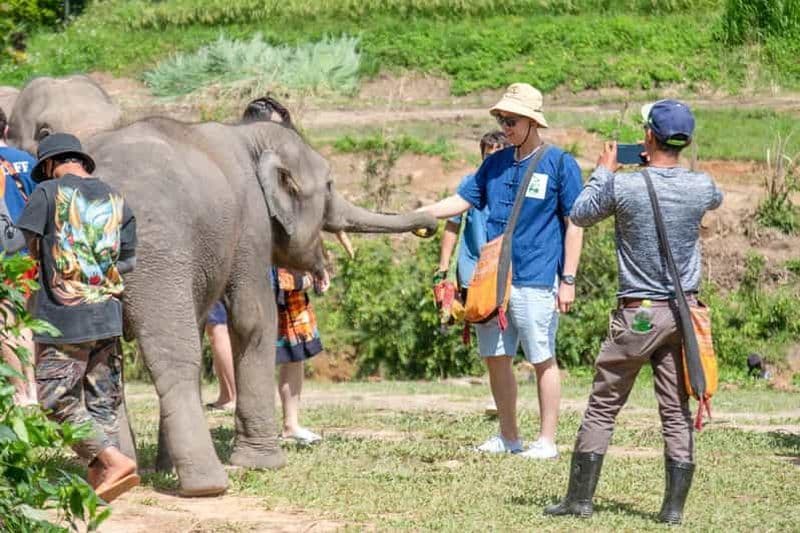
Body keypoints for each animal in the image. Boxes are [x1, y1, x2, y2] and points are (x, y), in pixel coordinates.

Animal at [82, 116, 437, 496]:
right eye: (328, 185)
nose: (430, 227)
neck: (246, 133)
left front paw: (165, 467)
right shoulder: (251, 222)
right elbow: (252, 316)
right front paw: (264, 464)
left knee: (102, 365)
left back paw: (119, 475)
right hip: (158, 255)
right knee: (174, 357)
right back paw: (206, 485)